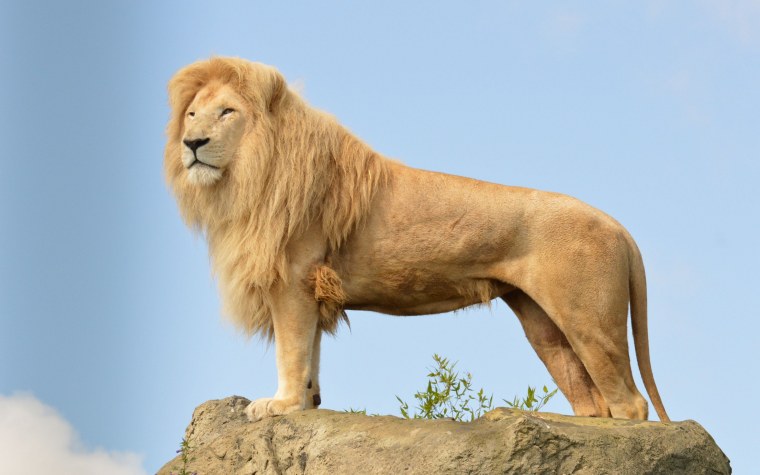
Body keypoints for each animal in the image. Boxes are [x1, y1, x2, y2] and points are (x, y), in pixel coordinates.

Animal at [165, 57, 669, 423]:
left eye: (227, 112)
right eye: (191, 114)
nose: (192, 143)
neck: (245, 178)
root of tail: (618, 225)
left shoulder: (292, 279)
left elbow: (292, 350)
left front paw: (280, 405)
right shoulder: (311, 287)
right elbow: (310, 353)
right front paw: (307, 402)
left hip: (588, 319)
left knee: (630, 403)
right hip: (544, 324)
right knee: (592, 400)